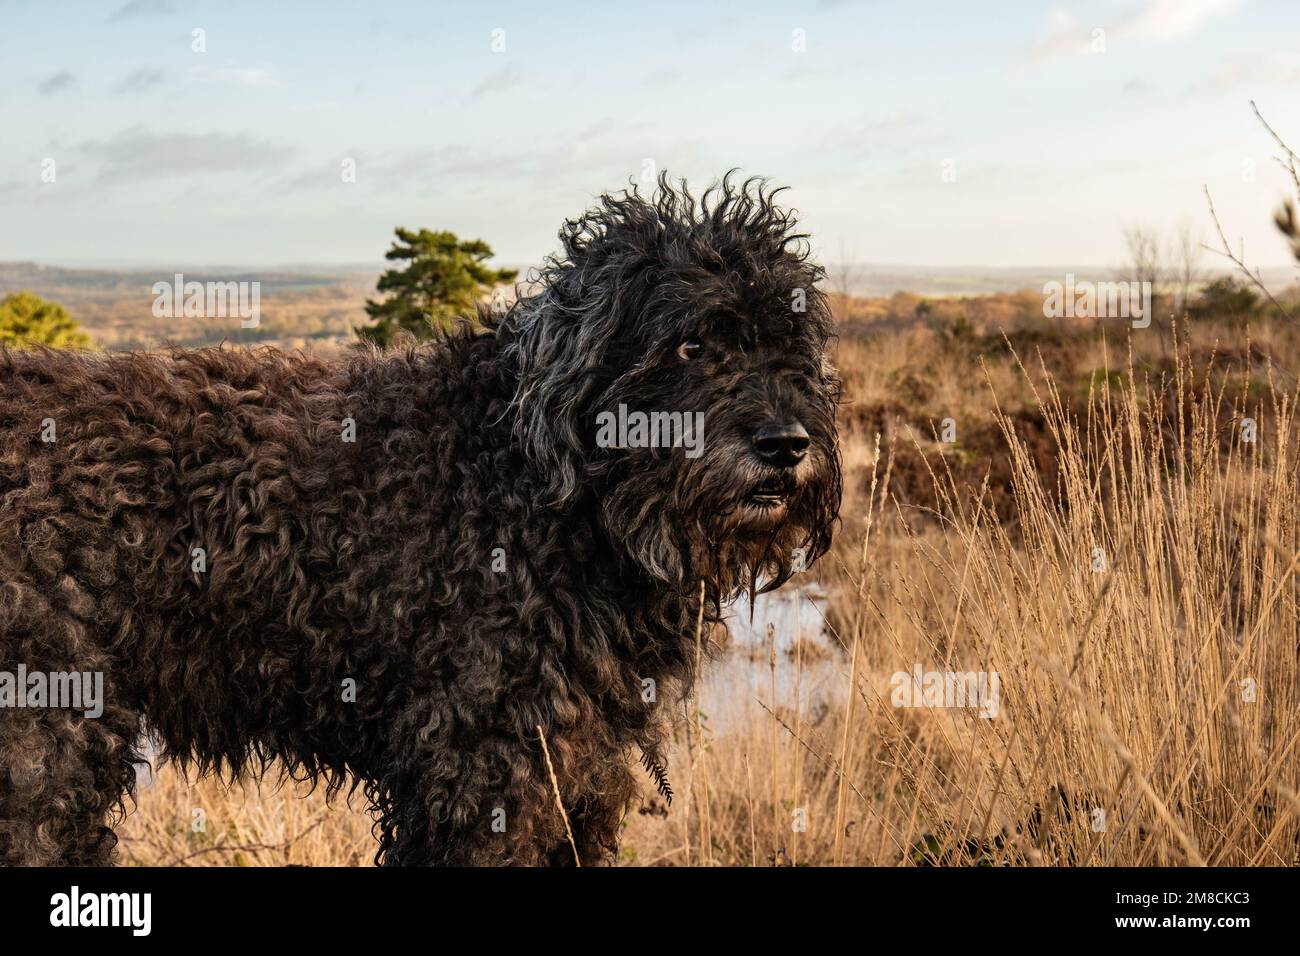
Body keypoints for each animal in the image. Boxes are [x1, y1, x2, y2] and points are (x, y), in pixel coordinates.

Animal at [0, 174, 842, 868]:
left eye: (791, 347)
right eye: (690, 343)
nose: (786, 444)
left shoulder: (579, 770)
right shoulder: (483, 769)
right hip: (44, 740)